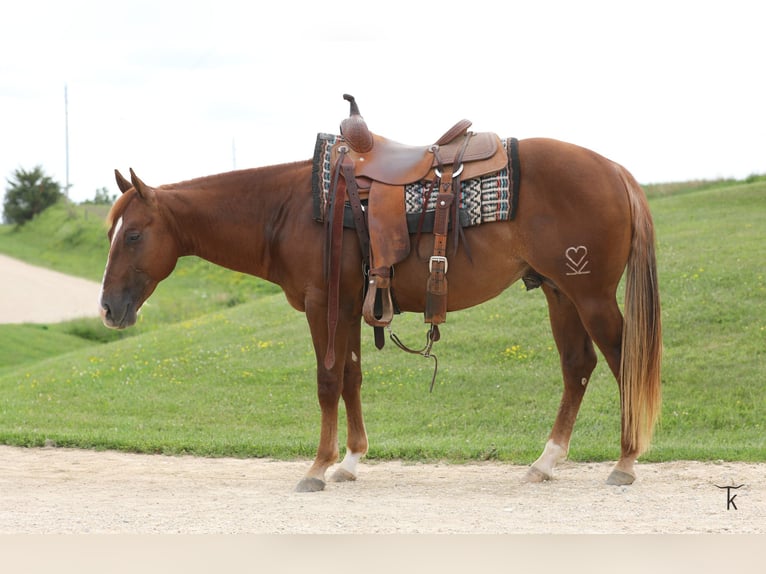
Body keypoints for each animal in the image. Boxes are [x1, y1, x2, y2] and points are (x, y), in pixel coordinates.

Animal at [99, 127, 661, 493]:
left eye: (133, 235)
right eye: (112, 233)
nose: (107, 309)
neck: (289, 209)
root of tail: (616, 171)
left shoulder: (322, 305)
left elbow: (328, 381)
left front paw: (317, 468)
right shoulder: (350, 307)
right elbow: (351, 378)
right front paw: (349, 461)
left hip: (589, 294)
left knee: (622, 362)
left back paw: (626, 462)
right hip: (558, 292)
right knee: (578, 366)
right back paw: (546, 462)